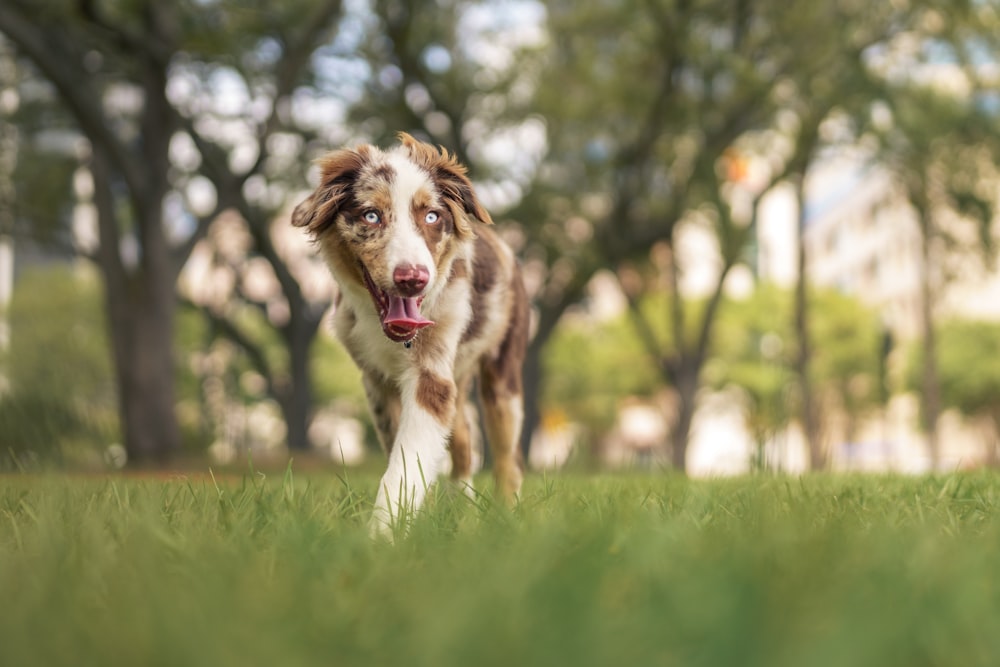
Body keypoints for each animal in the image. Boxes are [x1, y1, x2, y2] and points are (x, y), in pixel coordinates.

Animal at [292, 132, 532, 536]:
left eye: (432, 216)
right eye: (371, 216)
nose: (413, 279)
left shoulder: (431, 374)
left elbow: (407, 459)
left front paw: (380, 535)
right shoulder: (376, 381)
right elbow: (407, 456)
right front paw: (412, 521)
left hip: (504, 376)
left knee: (506, 459)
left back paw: (507, 519)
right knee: (463, 440)